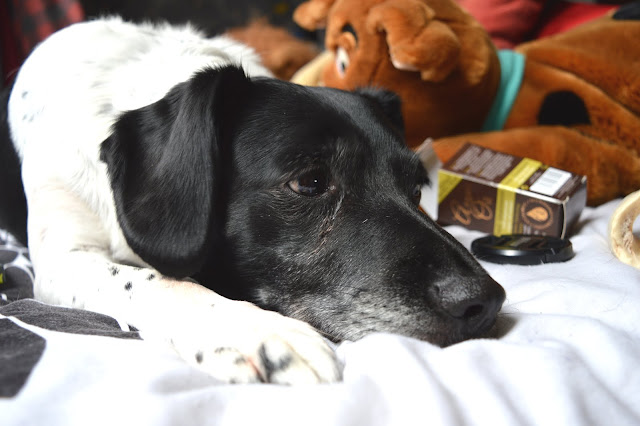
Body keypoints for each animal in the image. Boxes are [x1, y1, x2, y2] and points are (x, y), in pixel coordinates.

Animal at [2, 16, 508, 384]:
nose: (485, 302)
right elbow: (156, 280)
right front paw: (256, 331)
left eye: (416, 188)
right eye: (310, 182)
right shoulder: (60, 260)